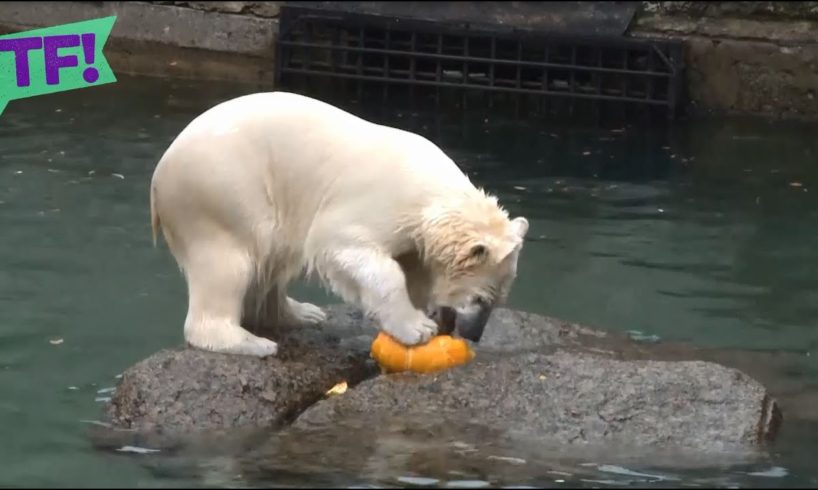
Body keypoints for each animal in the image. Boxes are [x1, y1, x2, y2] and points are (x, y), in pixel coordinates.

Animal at [147, 92, 528, 358]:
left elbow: (412, 267)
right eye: (479, 299)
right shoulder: (377, 202)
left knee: (273, 258)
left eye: (498, 300)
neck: (432, 195)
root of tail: (159, 175)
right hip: (222, 191)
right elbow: (346, 248)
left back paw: (301, 314)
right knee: (234, 261)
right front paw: (418, 328)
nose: (475, 334)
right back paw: (248, 342)